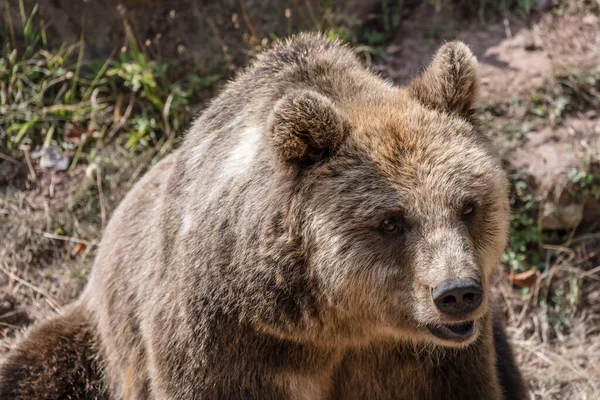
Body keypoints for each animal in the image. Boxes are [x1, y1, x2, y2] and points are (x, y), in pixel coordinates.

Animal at [0, 34, 524, 400]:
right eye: (392, 222)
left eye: (469, 206)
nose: (456, 294)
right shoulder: (227, 339)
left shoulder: (428, 359)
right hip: (96, 340)